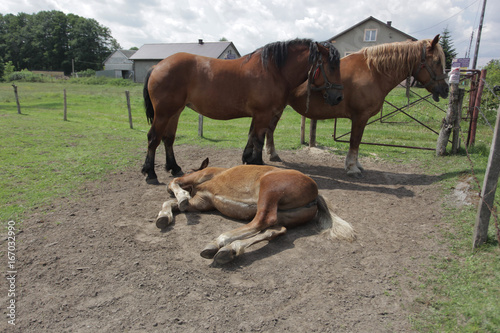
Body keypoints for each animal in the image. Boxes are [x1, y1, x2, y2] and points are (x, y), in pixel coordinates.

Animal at [141, 39, 344, 184]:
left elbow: (251, 136)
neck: (273, 71)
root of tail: (158, 65)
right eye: (332, 66)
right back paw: (150, 172)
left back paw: (174, 167)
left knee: (168, 139)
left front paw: (247, 159)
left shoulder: (259, 114)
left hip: (175, 112)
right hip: (164, 113)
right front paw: (258, 163)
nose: (338, 98)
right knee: (153, 138)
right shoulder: (263, 114)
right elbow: (259, 139)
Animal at [156, 158, 356, 264]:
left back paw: (219, 243)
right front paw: (164, 217)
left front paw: (180, 197)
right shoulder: (201, 202)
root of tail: (316, 193)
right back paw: (230, 250)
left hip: (269, 189)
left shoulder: (197, 178)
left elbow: (173, 183)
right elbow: (170, 203)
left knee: (262, 221)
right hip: (284, 215)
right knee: (275, 229)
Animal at [266, 35, 450, 178]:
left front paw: (356, 164)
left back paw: (272, 154)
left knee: (270, 129)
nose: (445, 89)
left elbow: (358, 142)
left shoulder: (362, 118)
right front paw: (352, 168)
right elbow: (355, 141)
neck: (373, 72)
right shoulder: (360, 116)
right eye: (436, 61)